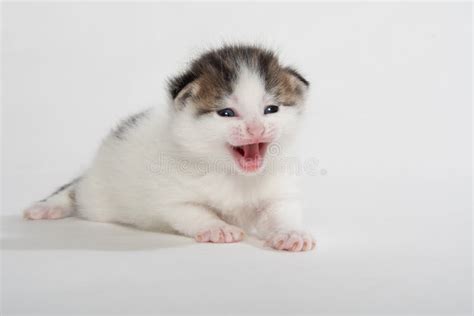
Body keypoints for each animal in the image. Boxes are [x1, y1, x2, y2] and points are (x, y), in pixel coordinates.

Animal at [24, 44, 316, 252]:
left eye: (271, 109)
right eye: (226, 113)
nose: (256, 129)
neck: (234, 176)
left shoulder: (278, 193)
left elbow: (282, 213)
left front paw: (291, 234)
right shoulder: (169, 199)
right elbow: (194, 212)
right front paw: (217, 228)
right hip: (98, 196)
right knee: (76, 190)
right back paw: (47, 207)